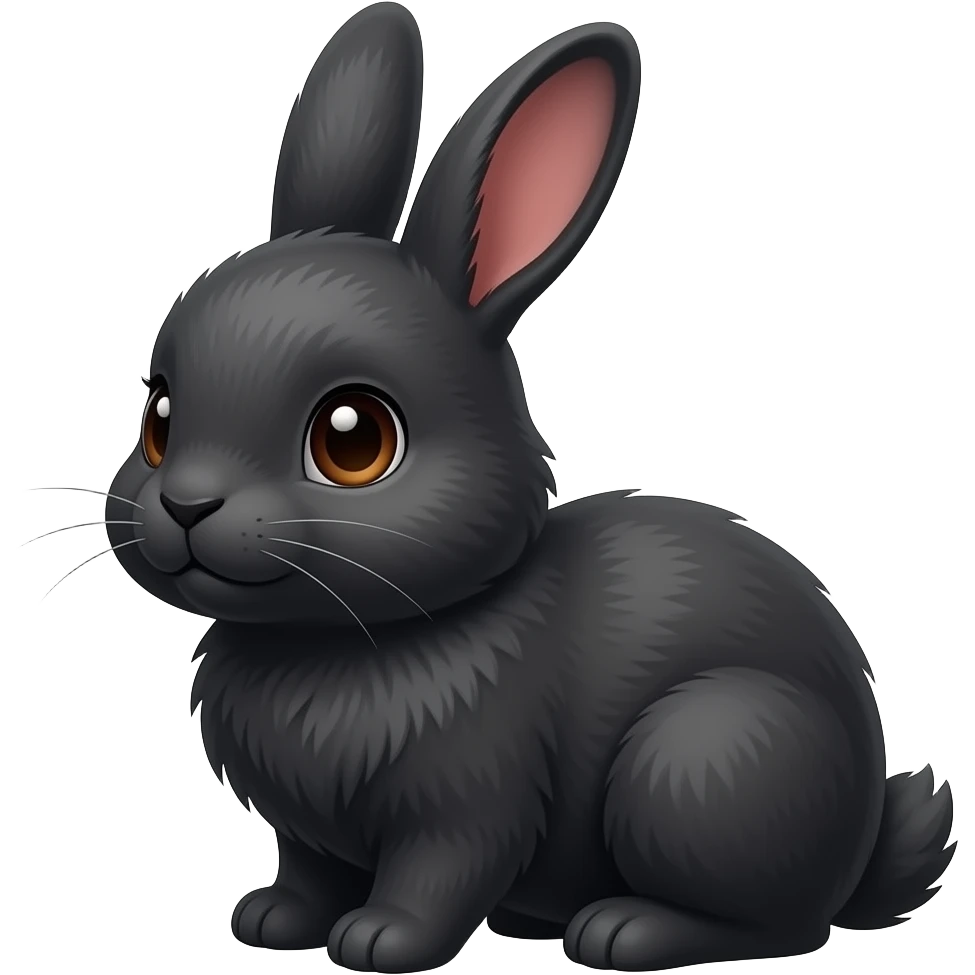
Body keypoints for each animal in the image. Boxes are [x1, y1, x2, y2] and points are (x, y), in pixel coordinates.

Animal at [71, 3, 955, 973]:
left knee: (781, 925)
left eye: (354, 440)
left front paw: (379, 941)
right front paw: (272, 921)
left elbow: (437, 873)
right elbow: (306, 869)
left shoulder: (469, 799)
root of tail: (861, 846)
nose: (187, 504)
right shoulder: (306, 834)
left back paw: (621, 929)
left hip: (704, 756)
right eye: (158, 419)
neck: (338, 639)